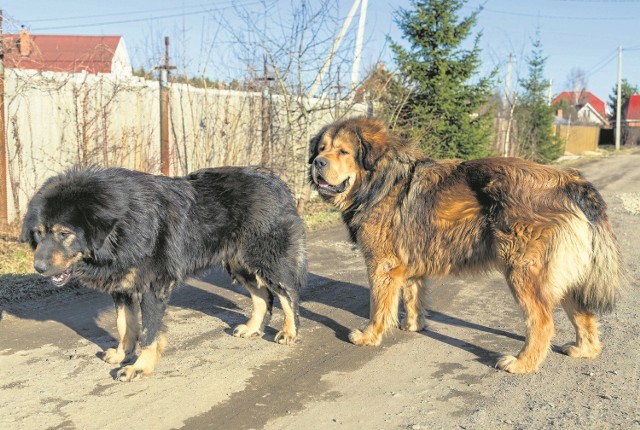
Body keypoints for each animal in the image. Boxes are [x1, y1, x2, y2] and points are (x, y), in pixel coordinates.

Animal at [21, 166, 306, 382]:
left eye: (64, 233)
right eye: (39, 232)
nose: (39, 268)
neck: (122, 228)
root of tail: (275, 180)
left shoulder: (152, 287)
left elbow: (149, 333)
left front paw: (139, 367)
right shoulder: (122, 288)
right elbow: (125, 326)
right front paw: (122, 354)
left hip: (265, 258)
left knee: (287, 293)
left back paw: (289, 332)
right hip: (238, 262)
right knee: (263, 296)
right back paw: (252, 328)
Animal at [310, 116, 624, 372]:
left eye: (343, 151)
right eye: (321, 149)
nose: (316, 163)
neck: (380, 181)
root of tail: (567, 179)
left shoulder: (382, 266)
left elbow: (378, 307)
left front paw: (369, 336)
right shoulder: (410, 263)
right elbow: (413, 298)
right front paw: (413, 325)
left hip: (524, 272)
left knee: (543, 323)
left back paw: (522, 363)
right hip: (563, 273)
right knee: (583, 313)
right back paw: (584, 350)